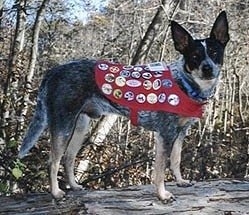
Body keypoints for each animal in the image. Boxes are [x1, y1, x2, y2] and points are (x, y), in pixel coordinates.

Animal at [19, 10, 230, 202]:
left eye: (215, 53)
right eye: (194, 56)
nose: (207, 68)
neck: (185, 84)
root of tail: (53, 71)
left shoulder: (180, 132)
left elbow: (176, 160)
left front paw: (180, 181)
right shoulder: (165, 134)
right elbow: (160, 170)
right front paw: (162, 195)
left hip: (79, 127)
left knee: (68, 158)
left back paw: (74, 185)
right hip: (63, 126)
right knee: (52, 161)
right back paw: (56, 192)